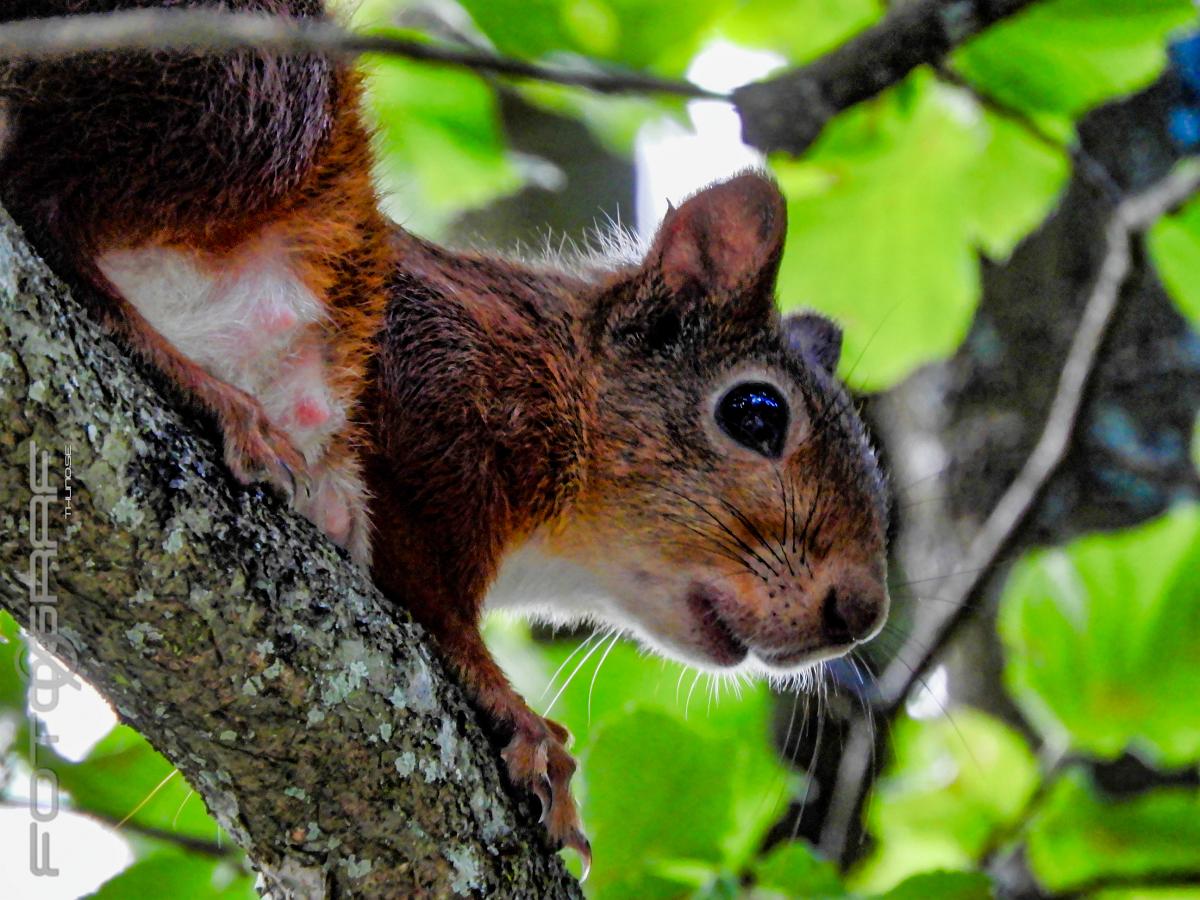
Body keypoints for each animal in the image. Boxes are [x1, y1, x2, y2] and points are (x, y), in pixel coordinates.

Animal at [0, 0, 883, 873]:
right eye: (755, 414)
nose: (861, 612)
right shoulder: (437, 375)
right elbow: (433, 586)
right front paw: (517, 714)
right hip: (254, 91)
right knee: (49, 203)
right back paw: (214, 393)